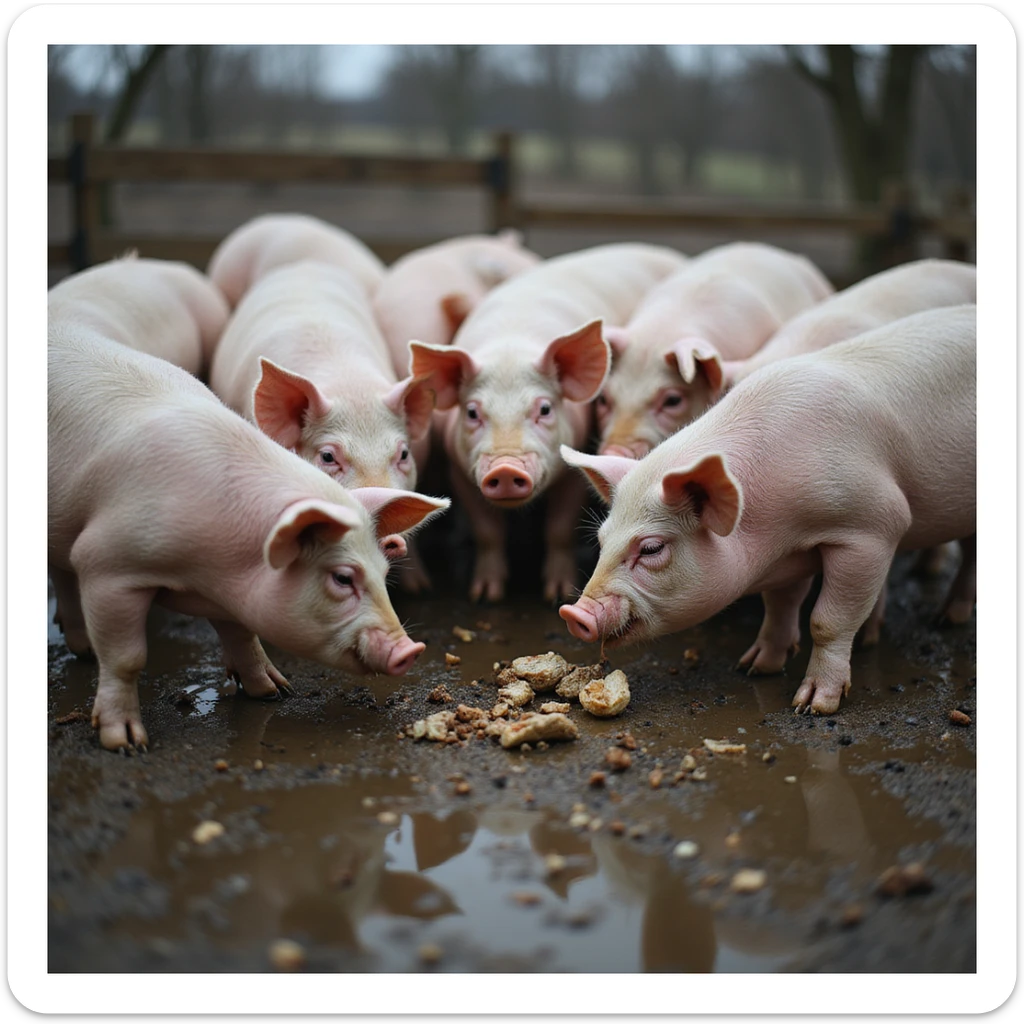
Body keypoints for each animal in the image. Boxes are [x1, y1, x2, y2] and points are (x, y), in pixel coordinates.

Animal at [48, 264, 450, 751]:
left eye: (404, 454)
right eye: (328, 456)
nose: (413, 650)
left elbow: (241, 632)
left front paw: (276, 692)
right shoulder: (107, 562)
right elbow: (127, 656)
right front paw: (127, 743)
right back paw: (84, 651)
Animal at [409, 242, 688, 602]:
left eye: (544, 409)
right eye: (472, 412)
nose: (506, 468)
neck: (510, 347)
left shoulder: (577, 455)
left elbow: (559, 529)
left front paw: (558, 594)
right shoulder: (459, 470)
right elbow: (487, 532)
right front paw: (485, 596)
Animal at [559, 304, 976, 715]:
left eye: (651, 548)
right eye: (601, 540)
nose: (573, 614)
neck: (776, 526)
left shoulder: (873, 525)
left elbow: (827, 620)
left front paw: (810, 706)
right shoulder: (789, 553)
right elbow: (779, 605)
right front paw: (754, 668)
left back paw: (940, 620)